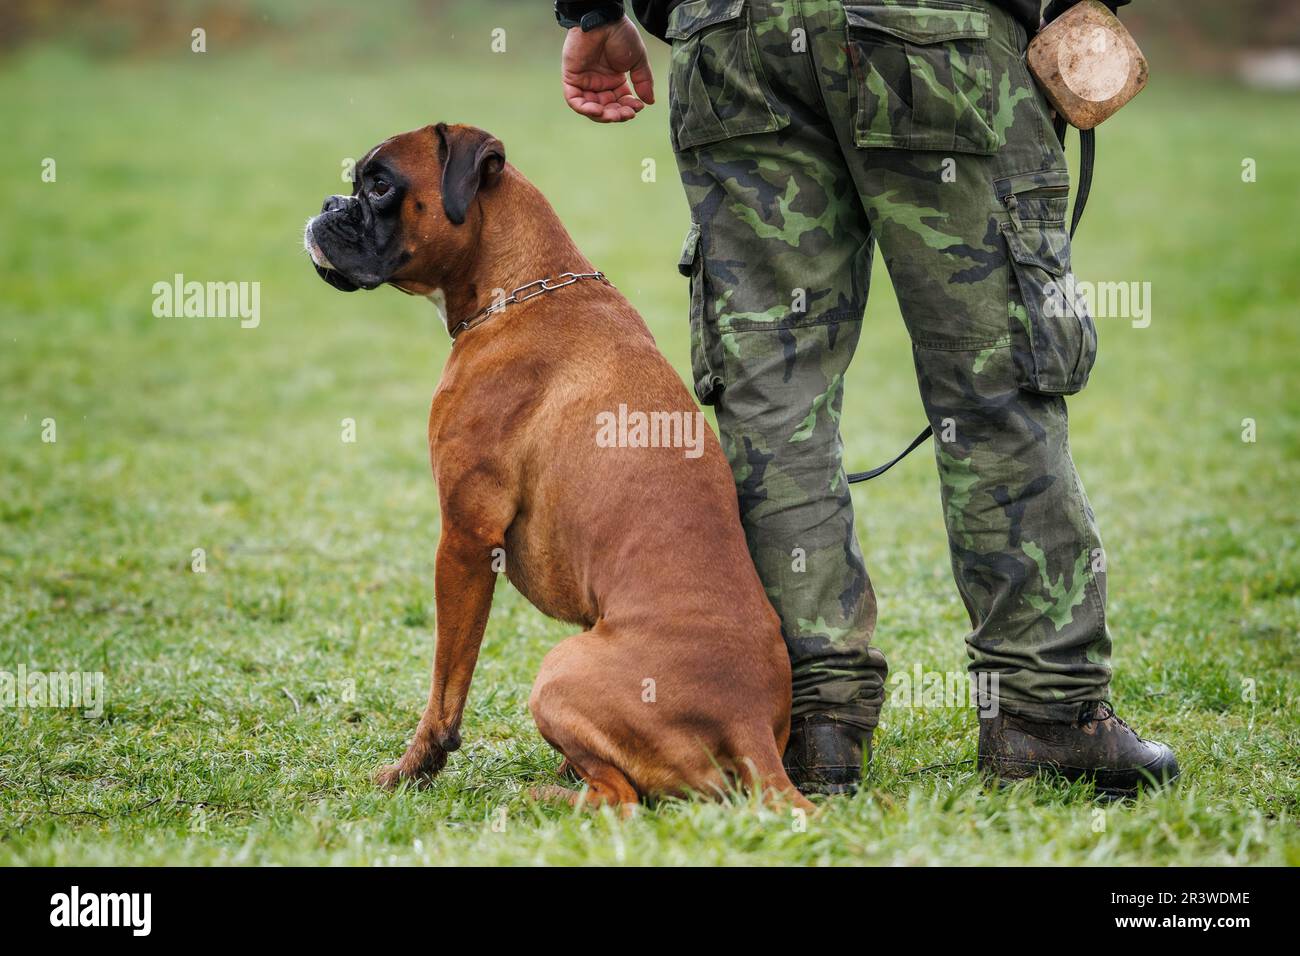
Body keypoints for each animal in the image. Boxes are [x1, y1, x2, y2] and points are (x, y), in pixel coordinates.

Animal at [305, 121, 811, 816]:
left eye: (379, 185)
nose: (329, 205)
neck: (521, 290)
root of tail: (751, 725)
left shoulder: (465, 538)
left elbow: (444, 687)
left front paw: (413, 770)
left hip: (559, 671)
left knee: (617, 798)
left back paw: (538, 794)